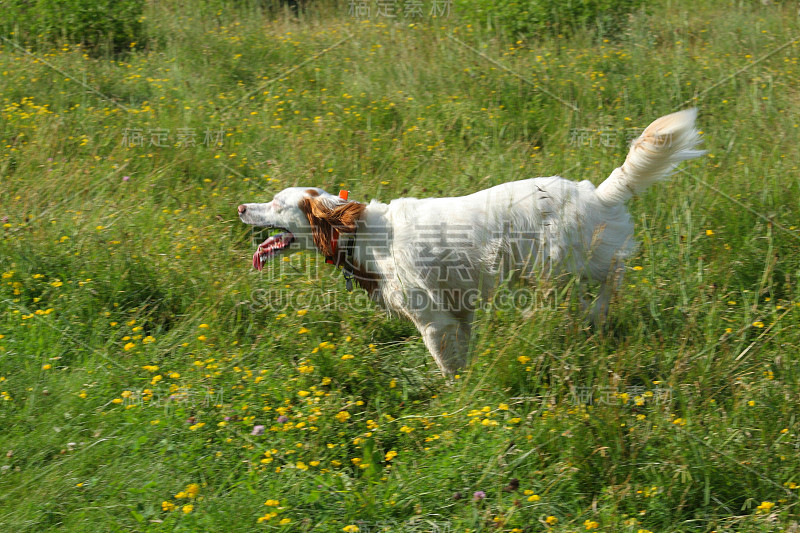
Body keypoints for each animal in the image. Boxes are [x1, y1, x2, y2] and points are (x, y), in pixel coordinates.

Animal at [241, 108, 704, 374]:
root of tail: (596, 193)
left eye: (277, 202)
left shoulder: (433, 320)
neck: (361, 233)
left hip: (560, 270)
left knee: (607, 284)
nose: (242, 207)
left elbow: (449, 370)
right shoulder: (458, 314)